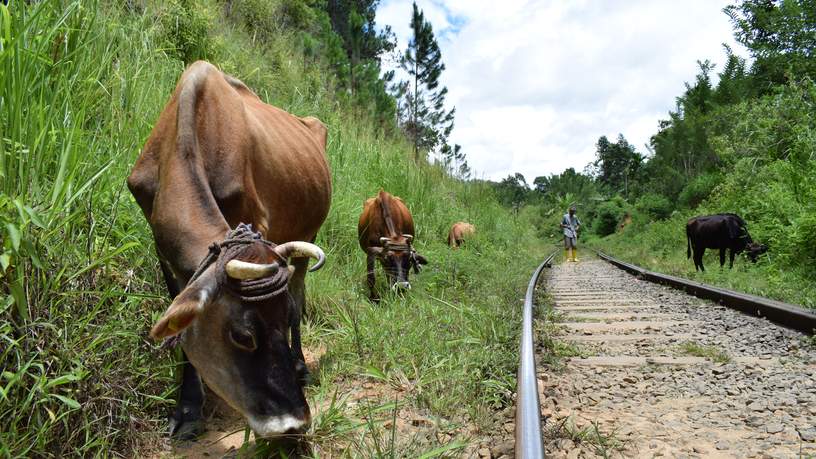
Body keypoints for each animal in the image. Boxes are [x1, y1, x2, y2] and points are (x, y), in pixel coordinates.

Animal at [127, 60, 332, 438]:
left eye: (280, 321)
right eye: (243, 336)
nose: (296, 423)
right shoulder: (163, 249)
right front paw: (188, 408)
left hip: (306, 235)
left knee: (298, 290)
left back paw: (300, 365)